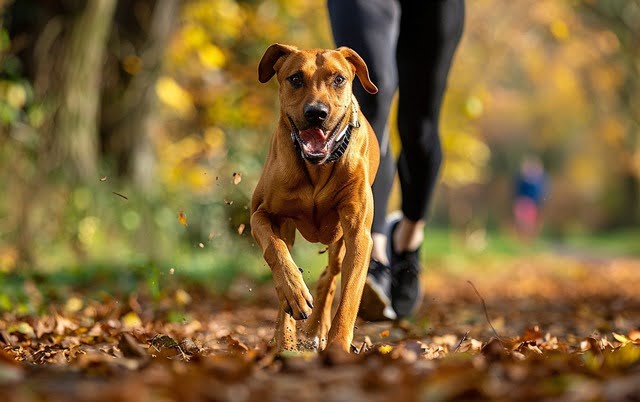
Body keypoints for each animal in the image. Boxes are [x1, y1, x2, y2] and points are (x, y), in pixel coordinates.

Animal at [250, 44, 380, 352]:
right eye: (296, 78)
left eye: (339, 79)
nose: (317, 113)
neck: (316, 167)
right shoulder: (260, 213)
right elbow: (274, 249)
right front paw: (294, 293)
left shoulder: (358, 234)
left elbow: (349, 296)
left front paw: (337, 347)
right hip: (287, 228)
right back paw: (285, 336)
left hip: (339, 240)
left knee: (330, 276)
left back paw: (316, 327)